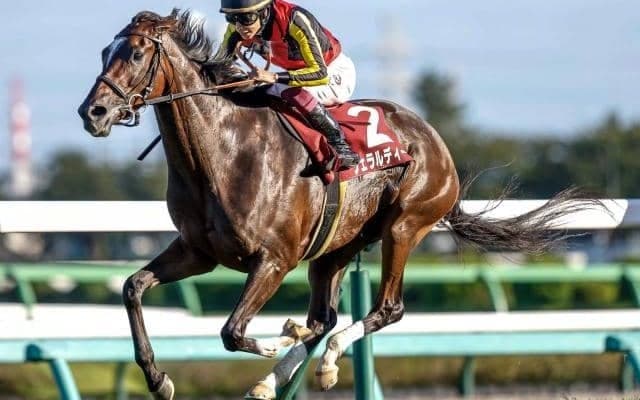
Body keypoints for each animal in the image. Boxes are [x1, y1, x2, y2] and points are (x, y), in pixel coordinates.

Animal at [78, 9, 598, 400]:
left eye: (137, 52)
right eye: (104, 52)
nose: (92, 113)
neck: (224, 153)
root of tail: (436, 143)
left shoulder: (273, 259)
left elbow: (232, 331)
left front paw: (277, 340)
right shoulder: (199, 253)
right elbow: (132, 288)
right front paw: (158, 377)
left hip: (404, 225)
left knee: (386, 309)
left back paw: (321, 358)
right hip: (336, 247)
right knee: (323, 317)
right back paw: (280, 376)